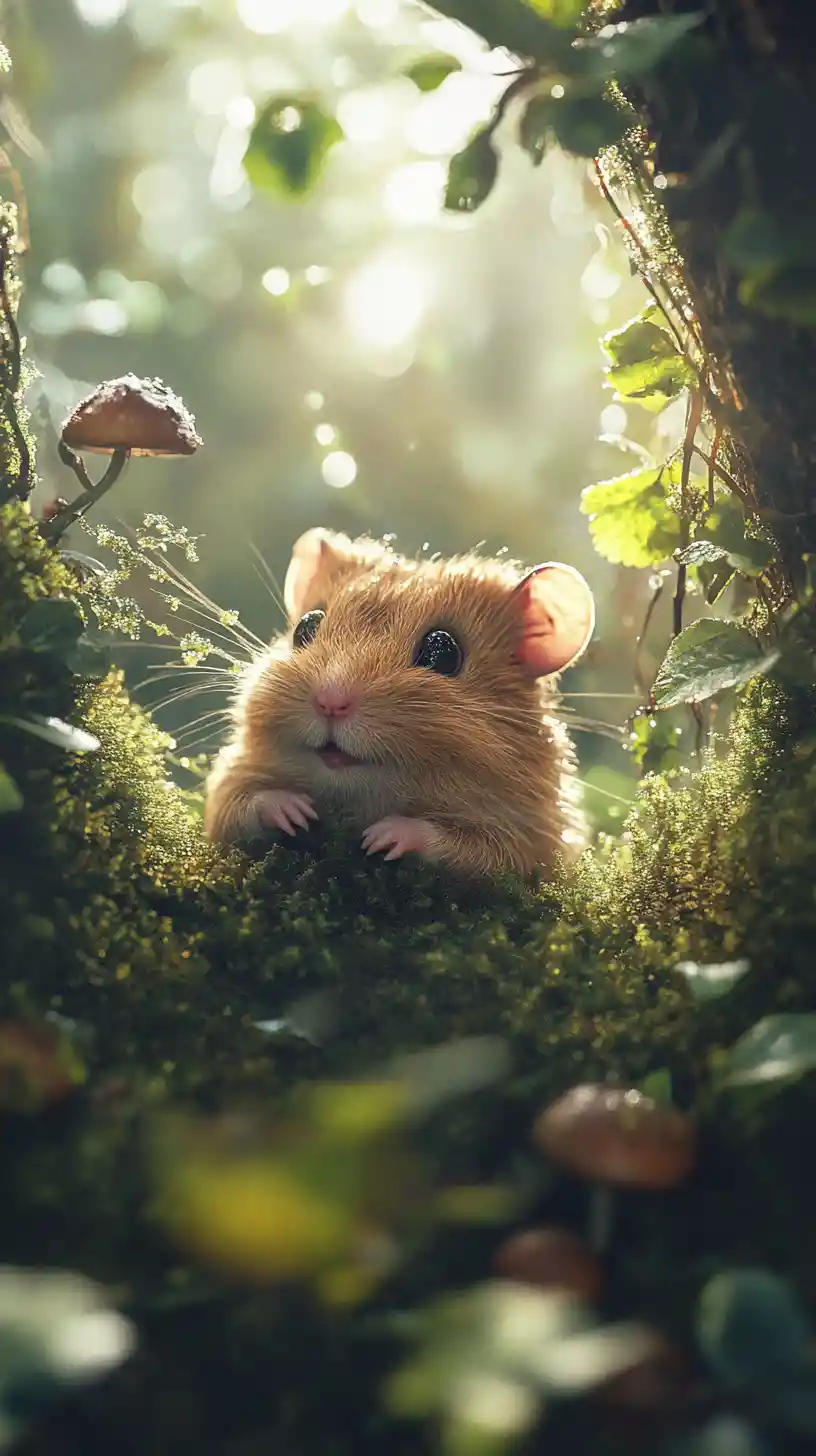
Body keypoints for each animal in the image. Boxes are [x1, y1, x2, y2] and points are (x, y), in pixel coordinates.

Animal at [203, 527, 595, 880]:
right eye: (305, 627)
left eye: (443, 651)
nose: (330, 702)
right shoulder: (229, 784)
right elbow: (235, 807)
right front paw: (295, 811)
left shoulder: (527, 841)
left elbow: (471, 850)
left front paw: (382, 836)